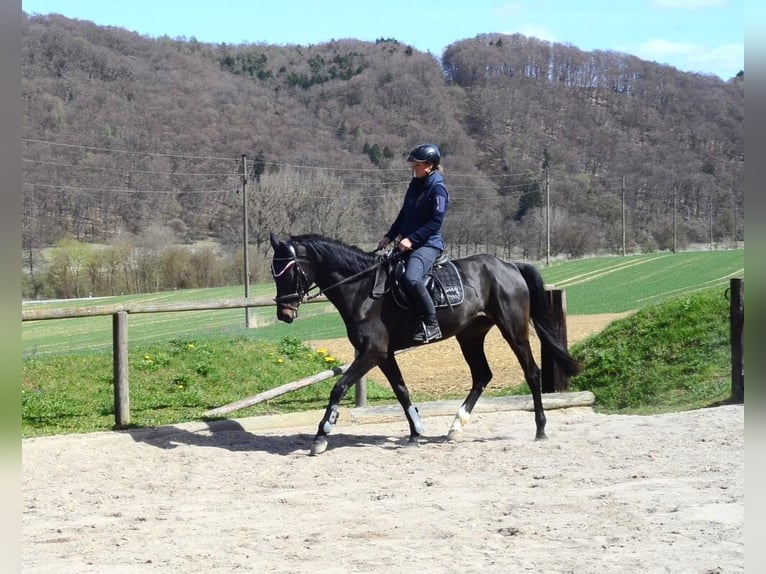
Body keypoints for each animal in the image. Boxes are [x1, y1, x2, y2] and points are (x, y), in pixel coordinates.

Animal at [269, 232, 582, 455]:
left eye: (289, 271)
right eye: (274, 272)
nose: (284, 314)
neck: (362, 290)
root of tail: (509, 266)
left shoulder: (372, 352)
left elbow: (339, 386)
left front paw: (322, 435)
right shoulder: (383, 355)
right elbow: (402, 391)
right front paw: (416, 432)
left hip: (513, 330)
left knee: (531, 372)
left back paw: (540, 430)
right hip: (470, 336)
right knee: (482, 375)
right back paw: (455, 427)